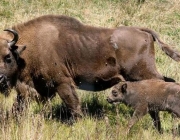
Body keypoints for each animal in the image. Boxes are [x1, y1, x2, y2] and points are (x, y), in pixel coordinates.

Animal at [0, 14, 180, 117]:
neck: (28, 46)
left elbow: (72, 104)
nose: (1, 79)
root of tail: (143, 32)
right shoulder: (35, 88)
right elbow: (18, 107)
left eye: (8, 57)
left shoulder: (62, 83)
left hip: (142, 74)